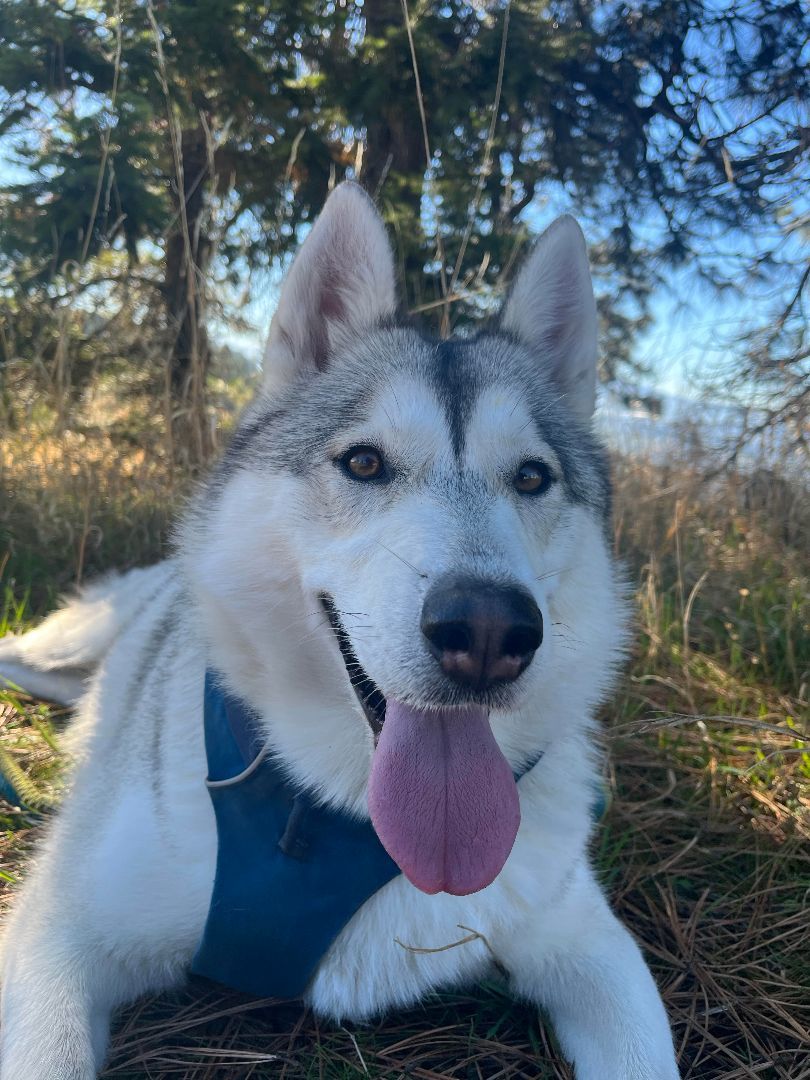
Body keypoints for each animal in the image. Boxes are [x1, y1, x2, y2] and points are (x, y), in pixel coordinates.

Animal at [0, 185, 678, 1080]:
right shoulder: (59, 934)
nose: (489, 629)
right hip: (62, 650)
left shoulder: (587, 940)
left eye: (532, 478)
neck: (341, 817)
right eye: (363, 463)